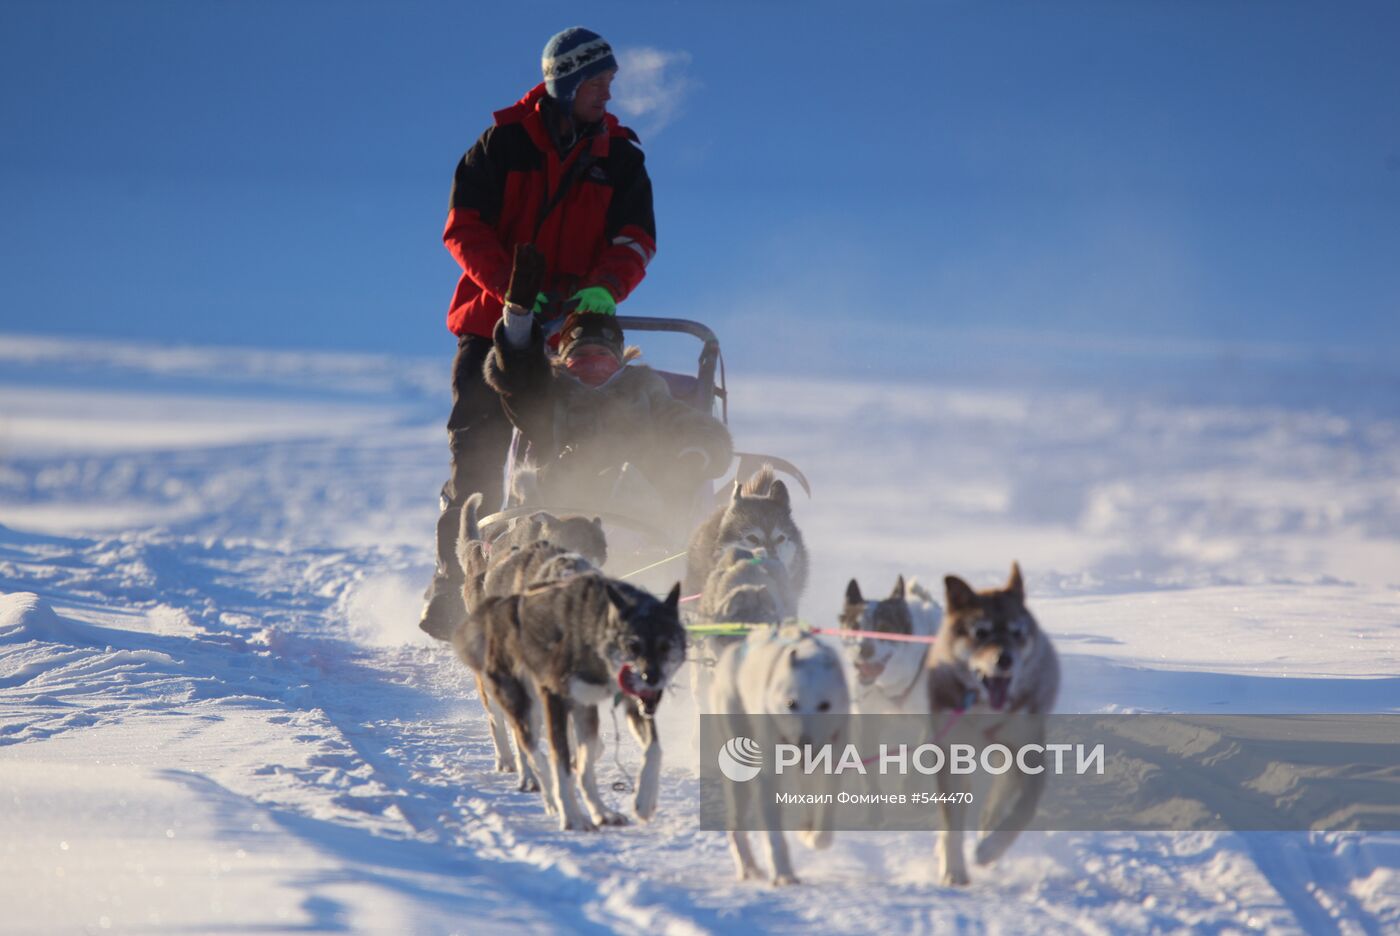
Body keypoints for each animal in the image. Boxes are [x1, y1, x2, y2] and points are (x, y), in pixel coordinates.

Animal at [476, 573, 683, 828]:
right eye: (633, 646)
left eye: (665, 646)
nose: (650, 678)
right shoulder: (554, 699)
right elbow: (560, 764)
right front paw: (572, 817)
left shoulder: (632, 702)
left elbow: (654, 749)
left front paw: (644, 801)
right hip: (524, 704)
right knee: (530, 749)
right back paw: (548, 794)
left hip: (583, 710)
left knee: (582, 767)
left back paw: (602, 812)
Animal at [711, 624, 851, 878]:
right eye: (791, 703)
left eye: (824, 705)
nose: (803, 742)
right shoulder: (769, 772)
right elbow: (773, 827)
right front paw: (783, 873)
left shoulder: (832, 761)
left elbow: (824, 820)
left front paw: (810, 835)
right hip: (739, 766)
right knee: (736, 824)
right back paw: (748, 867)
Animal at [929, 562, 1058, 884]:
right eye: (981, 632)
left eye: (1017, 632)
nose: (1005, 659)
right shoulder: (949, 753)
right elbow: (951, 823)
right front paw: (954, 870)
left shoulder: (1028, 750)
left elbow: (1024, 808)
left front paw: (990, 849)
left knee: (998, 799)